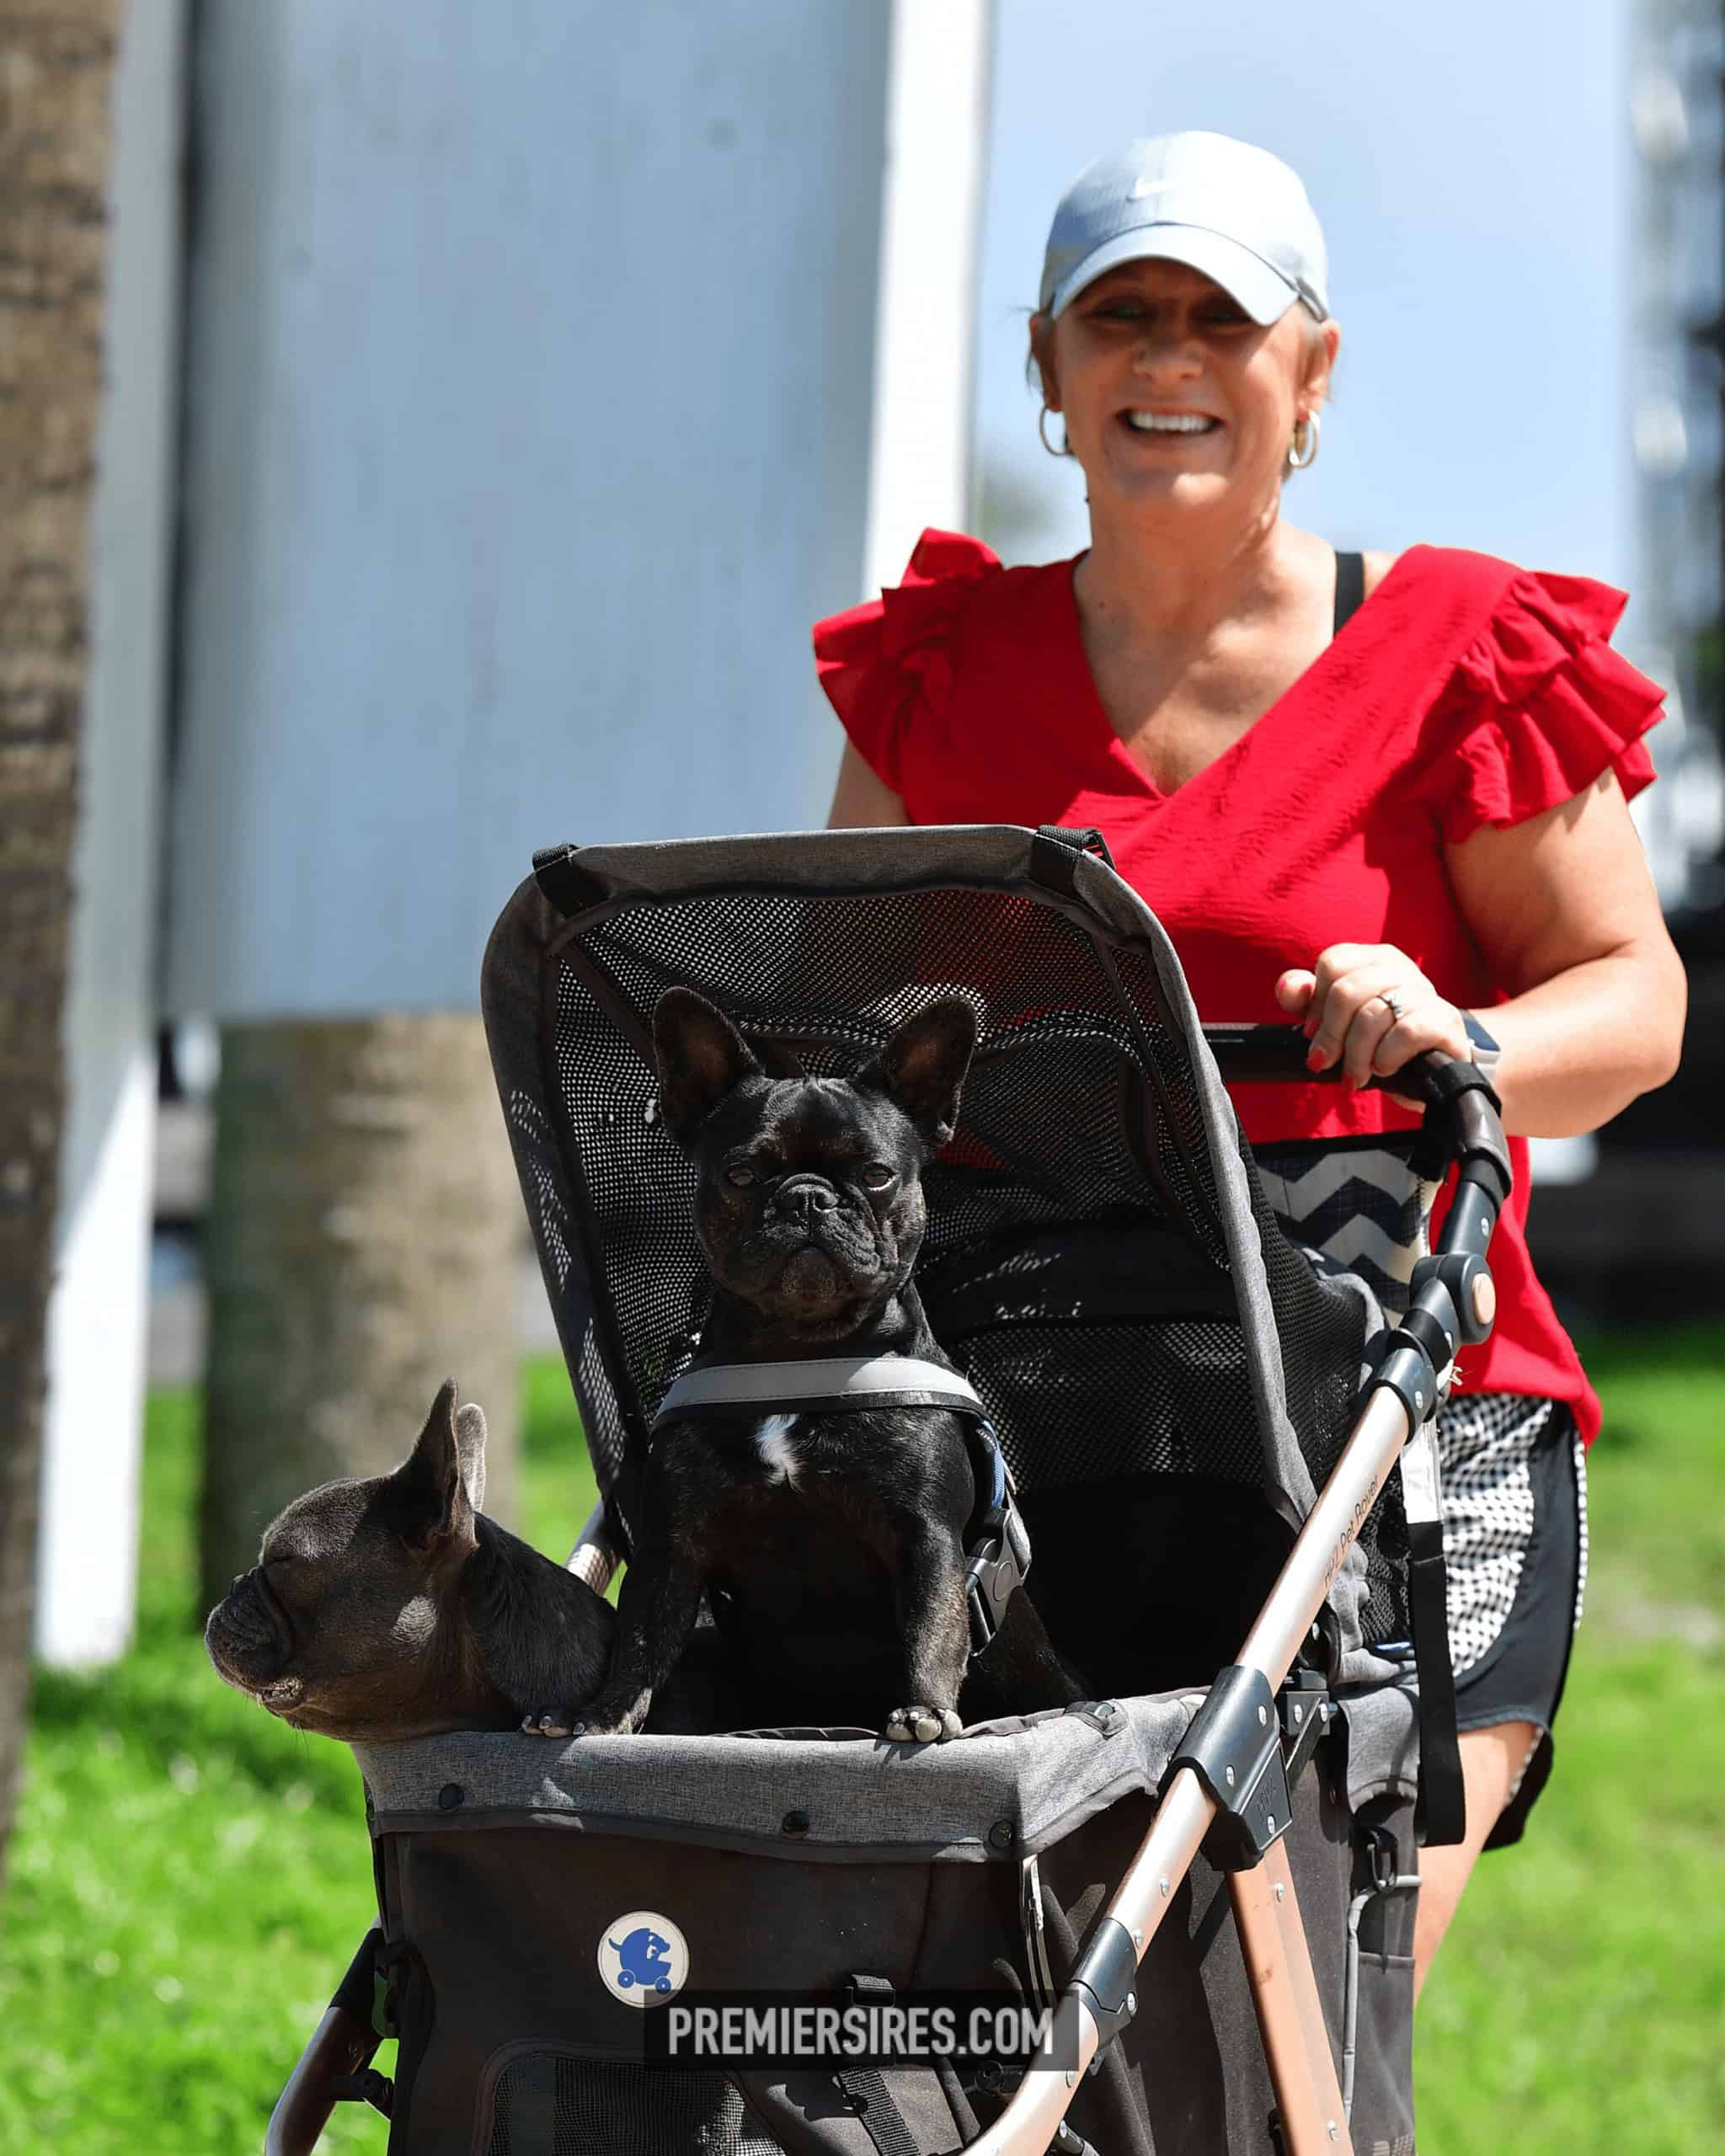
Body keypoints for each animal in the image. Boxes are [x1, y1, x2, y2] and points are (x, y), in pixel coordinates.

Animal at [567, 987, 1086, 1744]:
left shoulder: (925, 1535)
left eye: (876, 1174)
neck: (800, 1352)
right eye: (742, 1174)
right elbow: (640, 1636)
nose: (807, 1196)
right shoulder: (672, 1547)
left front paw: (924, 1711)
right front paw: (605, 1716)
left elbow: (932, 1623)